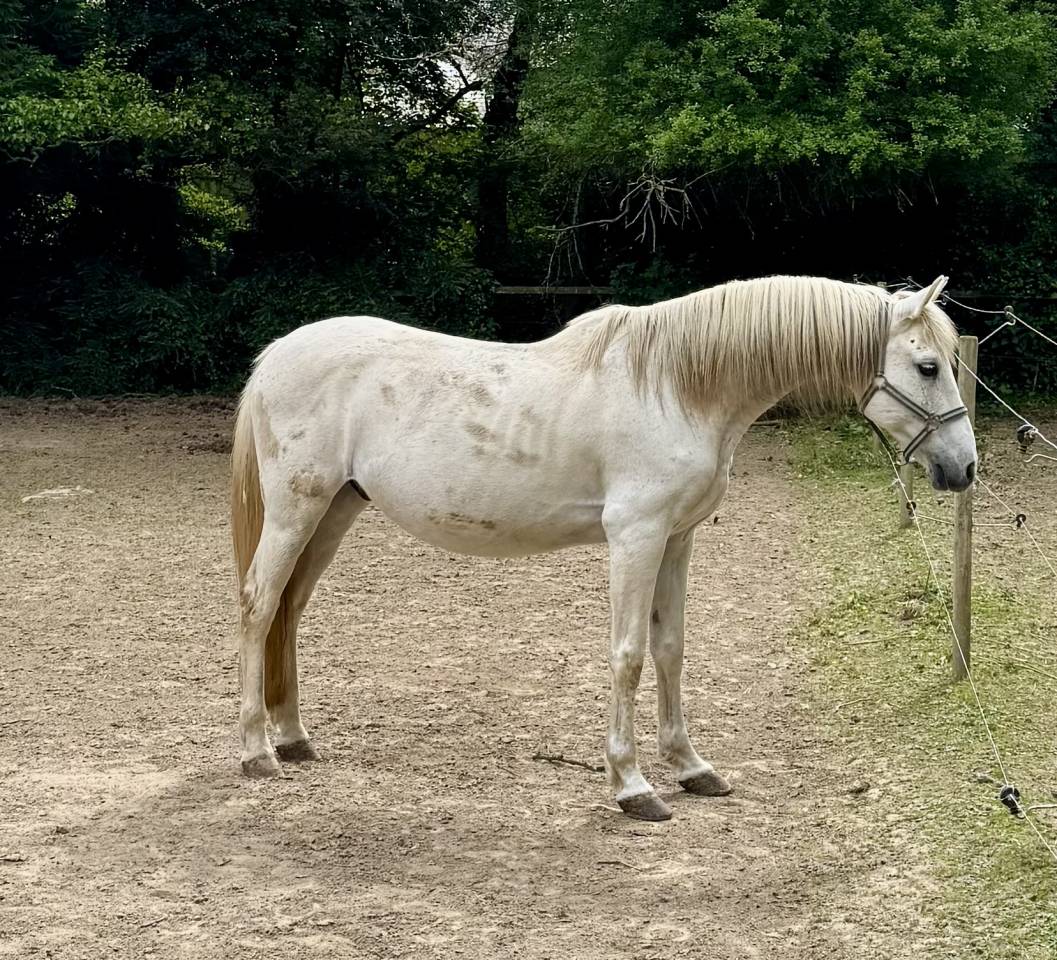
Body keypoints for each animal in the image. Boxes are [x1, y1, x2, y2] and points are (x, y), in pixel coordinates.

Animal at [230, 274, 976, 821]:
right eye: (926, 365)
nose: (964, 468)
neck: (678, 388)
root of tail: (276, 355)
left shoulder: (676, 538)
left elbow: (671, 649)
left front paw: (692, 768)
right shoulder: (636, 537)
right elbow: (628, 656)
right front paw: (632, 785)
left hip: (334, 510)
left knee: (290, 610)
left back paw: (293, 738)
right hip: (297, 510)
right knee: (260, 605)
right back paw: (255, 751)